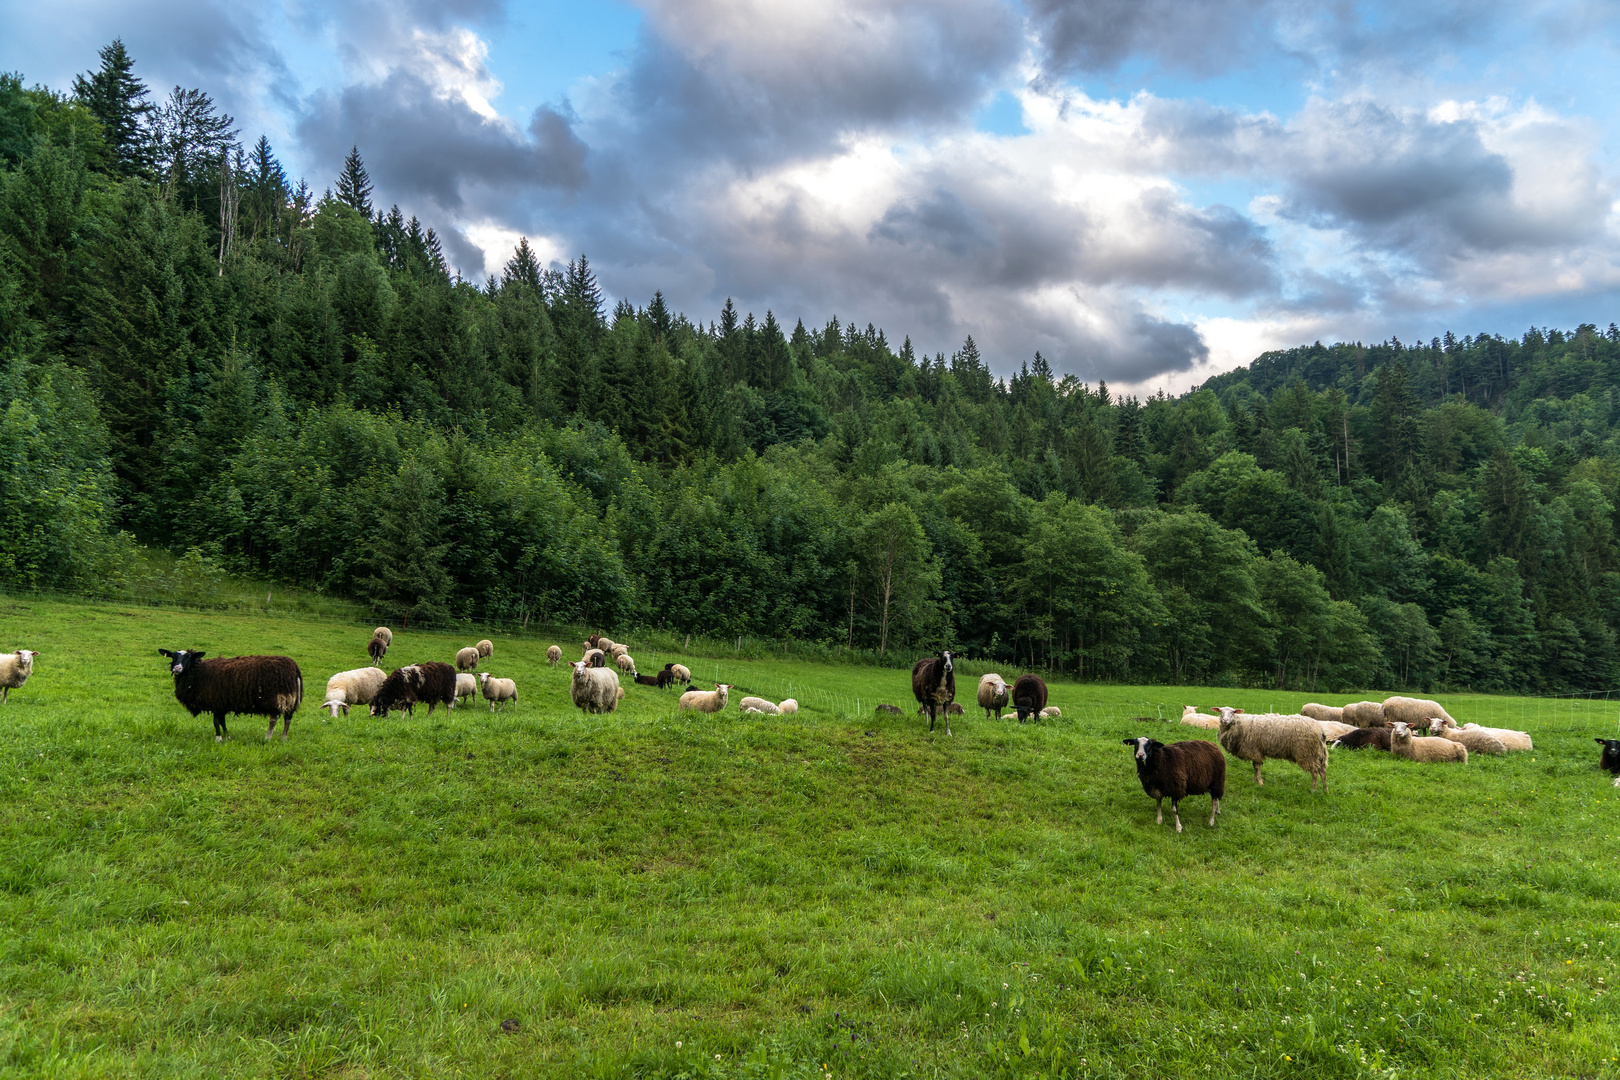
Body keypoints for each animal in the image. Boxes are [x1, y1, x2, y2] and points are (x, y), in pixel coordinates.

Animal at [158, 650, 304, 744]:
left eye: (188, 657)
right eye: (173, 657)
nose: (176, 668)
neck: (198, 672)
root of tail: (295, 668)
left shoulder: (216, 702)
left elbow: (216, 722)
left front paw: (218, 739)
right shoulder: (221, 703)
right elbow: (223, 721)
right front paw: (227, 737)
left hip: (276, 698)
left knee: (274, 720)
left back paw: (267, 738)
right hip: (290, 698)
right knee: (288, 718)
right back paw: (283, 738)